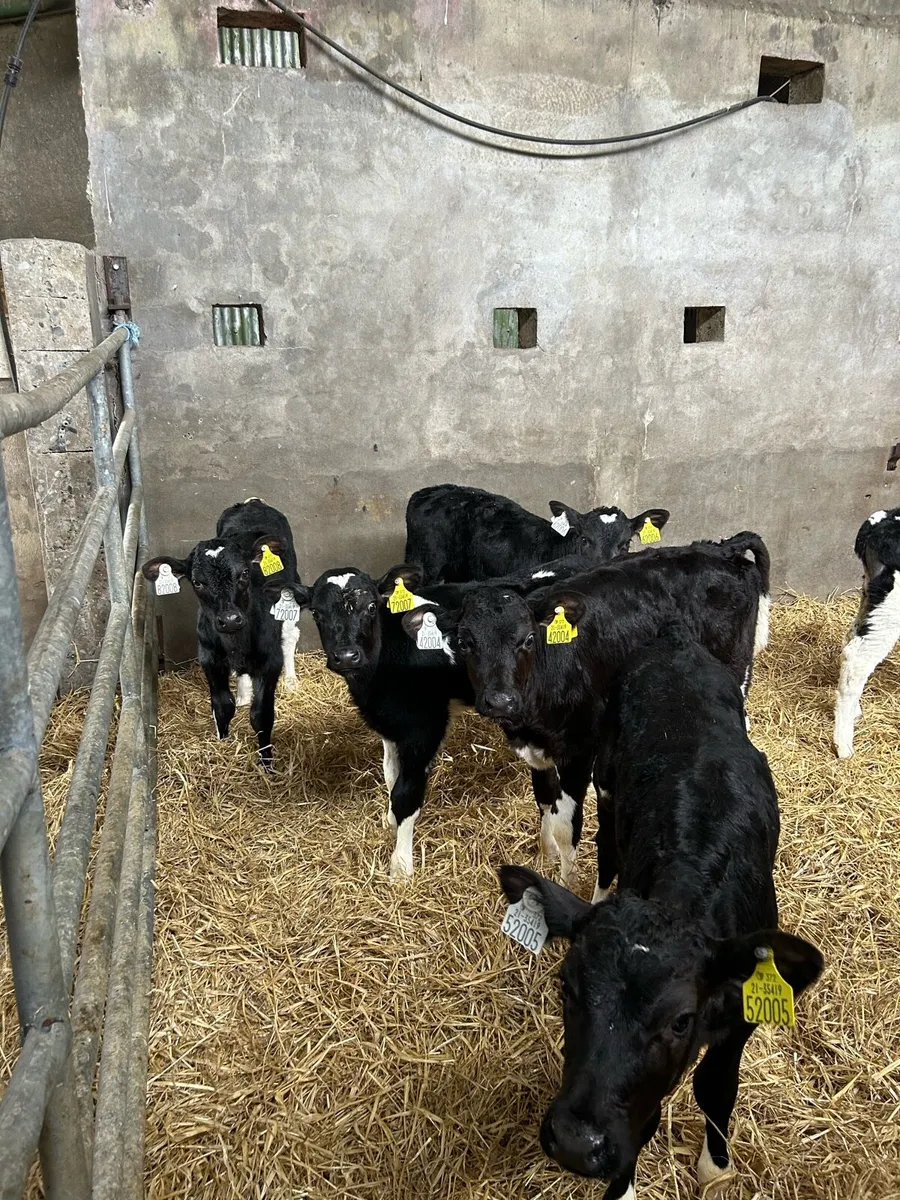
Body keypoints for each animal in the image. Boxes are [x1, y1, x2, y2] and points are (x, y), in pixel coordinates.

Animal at [141, 498, 300, 769]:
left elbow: (262, 715)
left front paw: (267, 764)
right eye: (197, 582)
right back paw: (244, 693)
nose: (229, 620)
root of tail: (252, 502)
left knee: (290, 637)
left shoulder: (270, 662)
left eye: (244, 573)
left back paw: (290, 680)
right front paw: (223, 741)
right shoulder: (210, 659)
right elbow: (223, 705)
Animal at [402, 534, 770, 890]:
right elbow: (543, 801)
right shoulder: (537, 750)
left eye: (528, 639)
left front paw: (567, 880)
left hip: (737, 671)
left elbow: (567, 826)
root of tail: (722, 549)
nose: (500, 700)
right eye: (465, 643)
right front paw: (546, 854)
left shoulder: (577, 752)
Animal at [498, 627, 823, 1200]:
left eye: (681, 1021)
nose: (577, 1144)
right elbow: (643, 1119)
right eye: (567, 987)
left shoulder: (741, 1011)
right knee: (607, 846)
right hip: (607, 779)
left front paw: (714, 1168)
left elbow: (715, 1087)